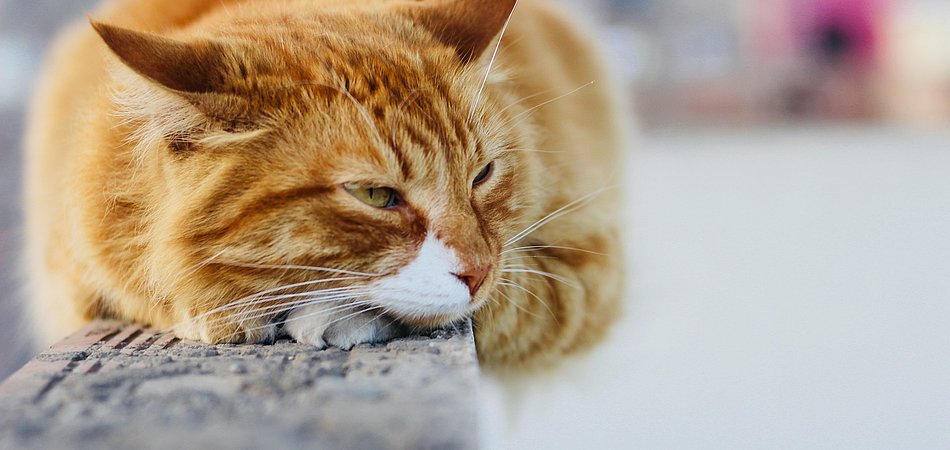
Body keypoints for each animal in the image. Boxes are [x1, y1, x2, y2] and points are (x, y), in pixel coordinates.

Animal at [24, 0, 624, 370]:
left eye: (482, 175)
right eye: (376, 196)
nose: (477, 272)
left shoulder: (582, 268)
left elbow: (503, 298)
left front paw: (338, 313)